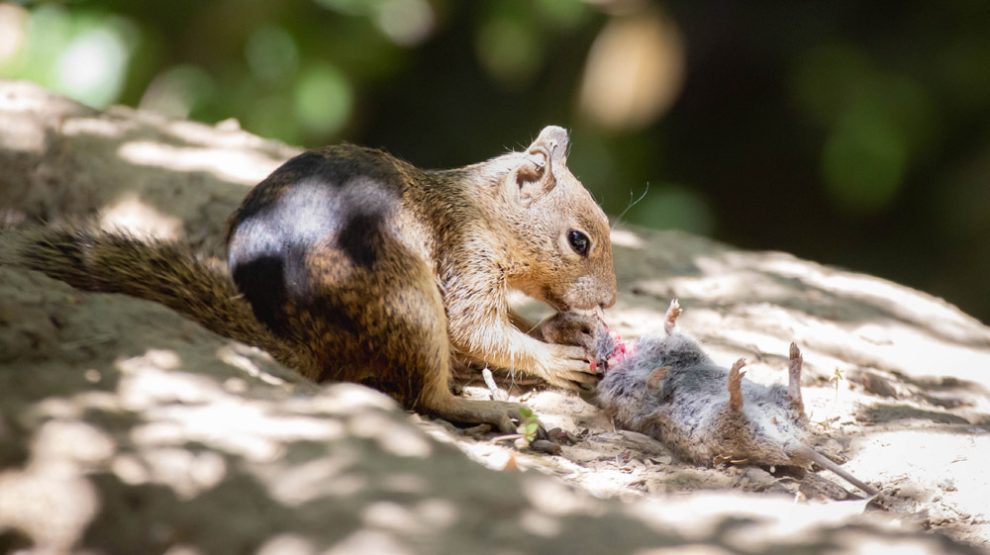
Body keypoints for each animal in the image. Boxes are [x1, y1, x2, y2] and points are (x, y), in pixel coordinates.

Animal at [15, 127, 616, 434]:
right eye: (578, 240)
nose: (610, 300)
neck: (481, 210)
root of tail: (308, 345)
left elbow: (505, 325)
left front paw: (568, 330)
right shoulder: (466, 258)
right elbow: (476, 329)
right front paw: (555, 358)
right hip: (410, 303)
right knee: (425, 395)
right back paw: (486, 408)